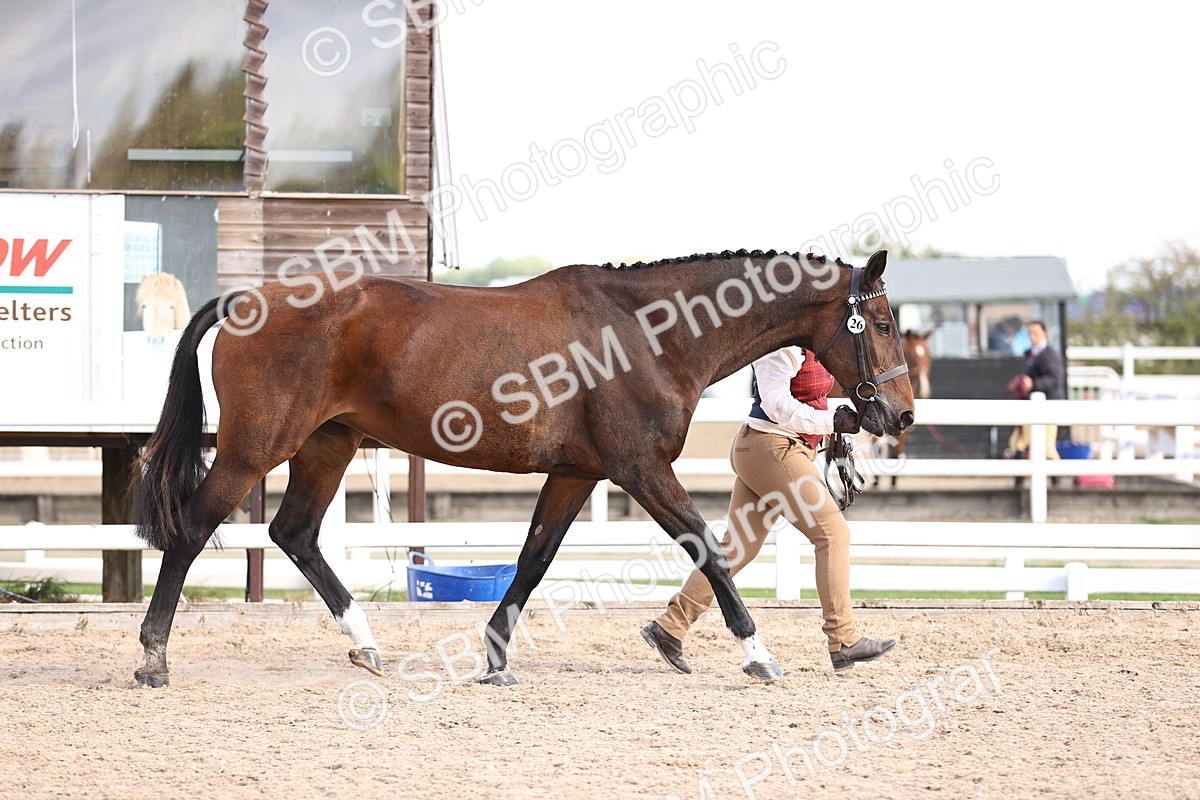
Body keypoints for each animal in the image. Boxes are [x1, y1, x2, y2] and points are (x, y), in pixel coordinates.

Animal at [132, 249, 914, 688]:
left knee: (293, 533)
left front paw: (496, 660)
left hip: (329, 445)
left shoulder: (576, 474)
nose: (899, 416)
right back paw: (153, 659)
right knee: (193, 530)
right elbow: (709, 550)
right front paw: (758, 656)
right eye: (879, 324)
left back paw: (368, 646)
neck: (649, 333)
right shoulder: (641, 469)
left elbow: (533, 562)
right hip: (253, 449)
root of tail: (246, 300)